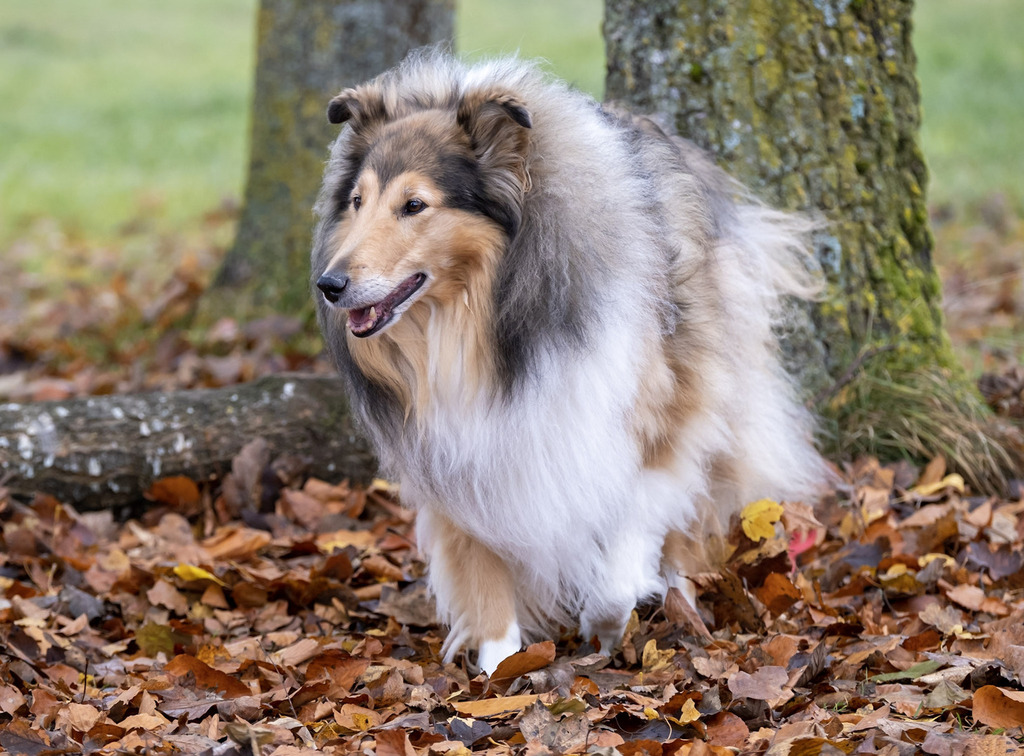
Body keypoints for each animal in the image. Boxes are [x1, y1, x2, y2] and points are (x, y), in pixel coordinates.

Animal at [311, 51, 829, 674]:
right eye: (356, 202)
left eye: (414, 205)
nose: (328, 286)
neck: (476, 327)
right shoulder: (458, 449)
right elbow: (484, 571)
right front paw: (498, 670)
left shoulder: (644, 423)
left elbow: (626, 540)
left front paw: (606, 626)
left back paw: (678, 602)